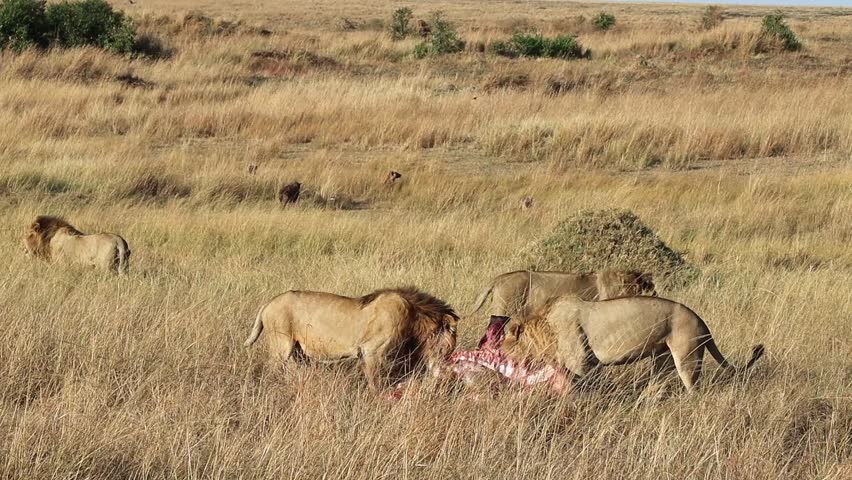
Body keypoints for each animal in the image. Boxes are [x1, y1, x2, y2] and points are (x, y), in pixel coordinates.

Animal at [243, 286, 459, 391]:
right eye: (446, 350)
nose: (443, 372)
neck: (414, 317)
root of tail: (269, 303)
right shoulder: (371, 352)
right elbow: (375, 383)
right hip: (281, 347)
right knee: (270, 370)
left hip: (298, 352)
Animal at [501, 295, 765, 392]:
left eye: (504, 340)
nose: (497, 352)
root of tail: (702, 323)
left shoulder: (580, 363)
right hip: (661, 358)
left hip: (687, 357)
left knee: (692, 387)